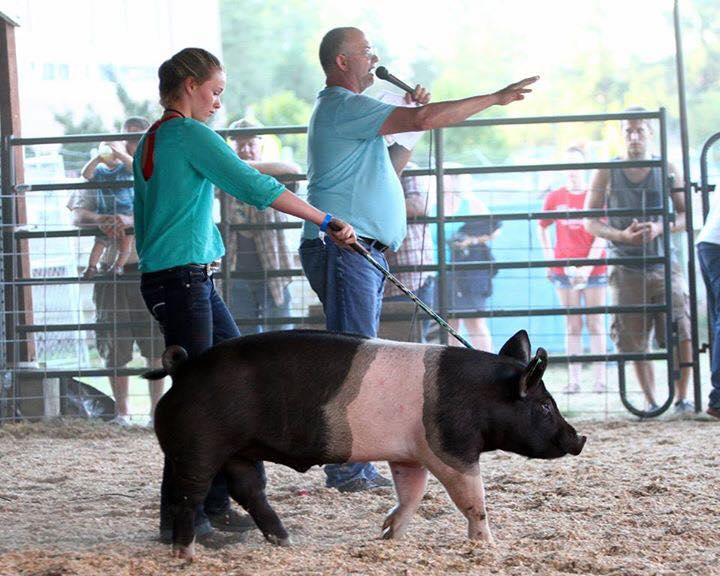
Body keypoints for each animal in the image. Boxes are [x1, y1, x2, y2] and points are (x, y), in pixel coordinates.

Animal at [145, 329, 586, 559]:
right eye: (545, 405)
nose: (580, 438)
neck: (482, 397)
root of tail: (182, 369)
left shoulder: (410, 454)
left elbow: (412, 493)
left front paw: (388, 535)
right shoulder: (450, 447)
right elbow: (473, 499)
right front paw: (488, 546)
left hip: (238, 451)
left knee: (248, 489)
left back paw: (285, 542)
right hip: (199, 444)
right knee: (188, 494)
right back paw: (186, 554)